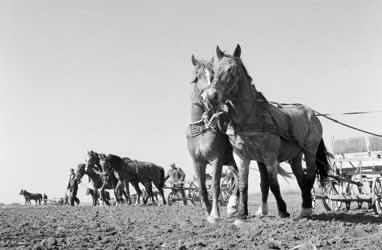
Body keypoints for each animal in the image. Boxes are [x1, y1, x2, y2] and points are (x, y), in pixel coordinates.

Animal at [201, 44, 330, 226]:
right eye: (214, 69)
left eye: (231, 69)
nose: (211, 95)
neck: (250, 117)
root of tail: (312, 114)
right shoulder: (241, 156)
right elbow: (244, 185)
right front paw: (241, 215)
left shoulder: (269, 156)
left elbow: (273, 184)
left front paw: (283, 210)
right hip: (295, 157)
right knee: (301, 178)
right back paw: (305, 208)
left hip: (310, 152)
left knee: (310, 175)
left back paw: (305, 209)